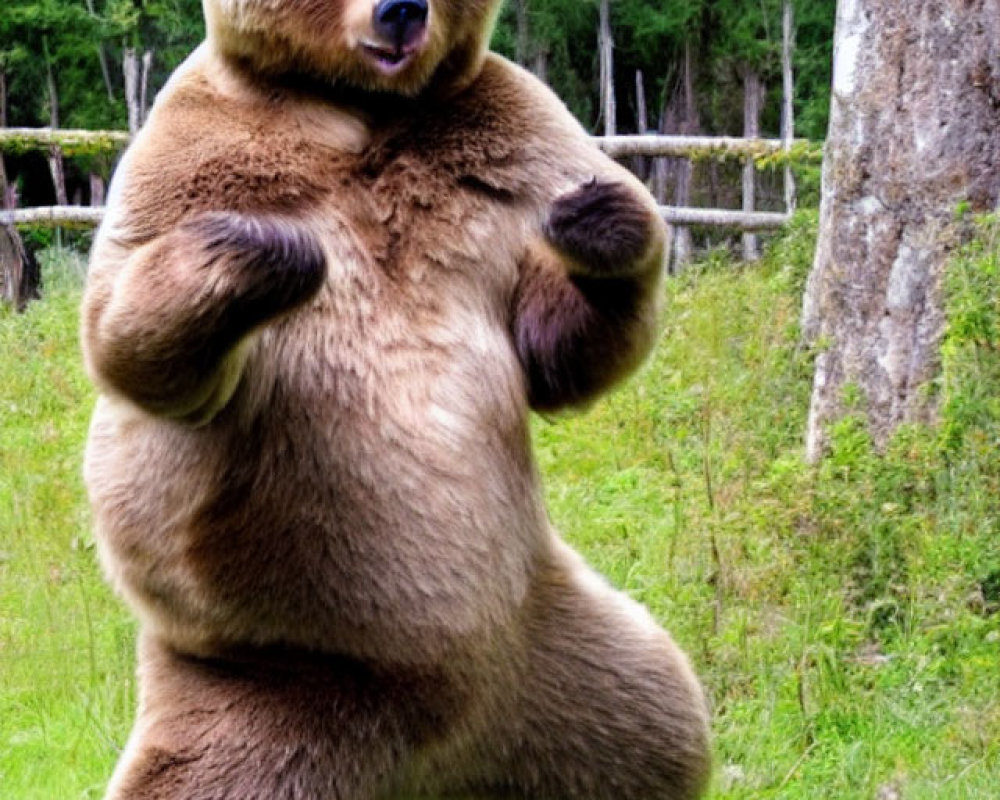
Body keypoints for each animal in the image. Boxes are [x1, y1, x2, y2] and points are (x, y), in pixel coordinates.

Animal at [80, 0, 712, 796]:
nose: (401, 11)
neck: (362, 111)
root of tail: (431, 760)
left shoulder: (512, 138)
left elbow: (554, 350)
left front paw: (601, 221)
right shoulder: (191, 149)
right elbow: (124, 334)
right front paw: (265, 250)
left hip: (561, 656)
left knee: (656, 728)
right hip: (268, 693)